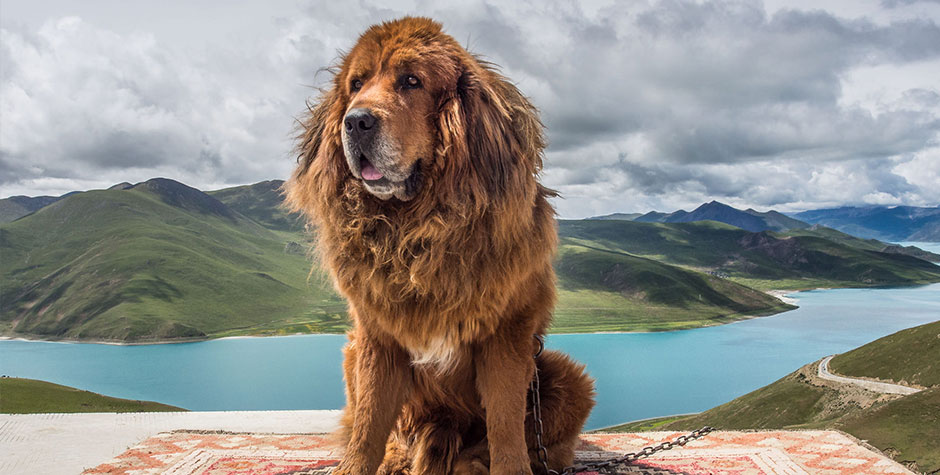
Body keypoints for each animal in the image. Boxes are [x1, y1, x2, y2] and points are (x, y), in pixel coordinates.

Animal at [284, 16, 596, 474]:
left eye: (411, 81)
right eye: (356, 84)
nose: (355, 121)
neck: (420, 230)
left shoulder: (506, 336)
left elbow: (505, 425)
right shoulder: (377, 337)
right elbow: (369, 423)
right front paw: (358, 465)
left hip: (564, 377)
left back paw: (472, 462)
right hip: (353, 350)